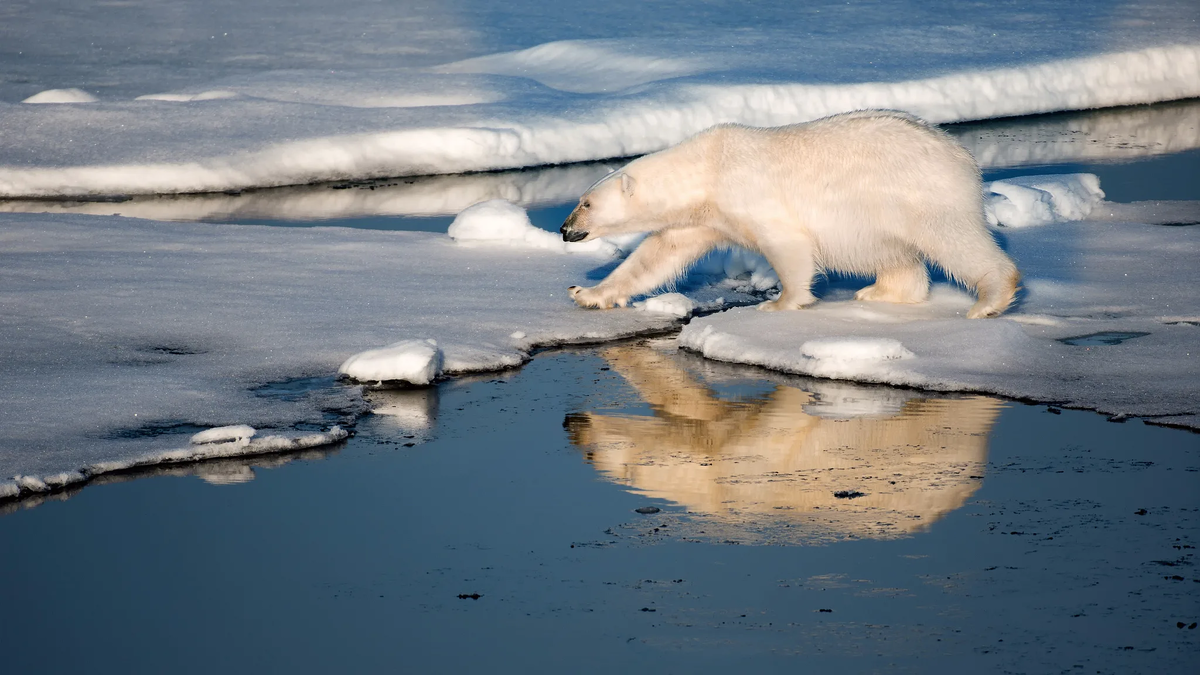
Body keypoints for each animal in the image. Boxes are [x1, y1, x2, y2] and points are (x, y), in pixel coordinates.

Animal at [561, 110, 1022, 317]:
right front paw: (588, 293)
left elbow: (786, 242)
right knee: (893, 254)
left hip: (922, 194)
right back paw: (878, 293)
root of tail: (961, 154)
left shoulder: (748, 193)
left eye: (586, 203)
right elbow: (657, 256)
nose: (565, 229)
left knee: (955, 241)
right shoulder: (702, 218)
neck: (707, 169)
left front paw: (780, 303)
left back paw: (989, 301)